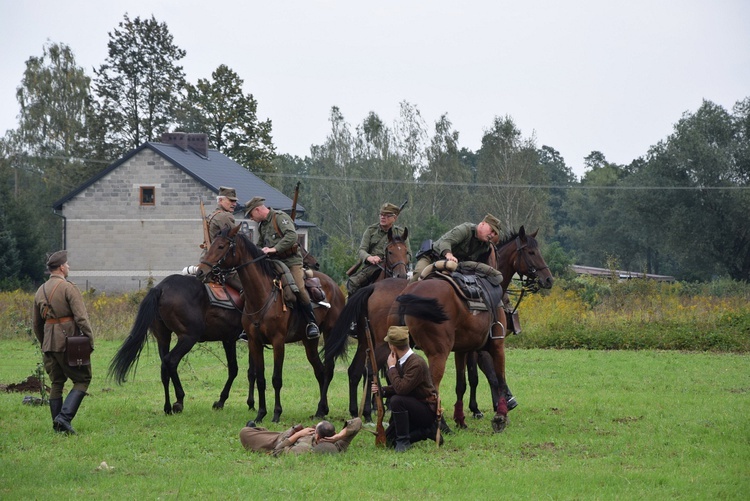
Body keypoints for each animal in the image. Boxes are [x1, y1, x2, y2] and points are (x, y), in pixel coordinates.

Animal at [108, 274, 242, 414]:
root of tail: (161, 288)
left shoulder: (229, 339)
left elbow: (233, 369)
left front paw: (221, 402)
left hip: (163, 338)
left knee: (164, 366)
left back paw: (167, 407)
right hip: (188, 338)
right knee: (171, 361)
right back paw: (179, 400)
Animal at [194, 225, 346, 424]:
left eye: (221, 246)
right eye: (212, 245)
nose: (200, 272)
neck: (262, 295)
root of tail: (336, 287)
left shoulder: (278, 342)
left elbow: (276, 379)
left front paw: (276, 413)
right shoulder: (254, 342)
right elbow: (260, 378)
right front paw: (260, 413)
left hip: (330, 334)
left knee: (328, 369)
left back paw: (321, 408)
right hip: (309, 341)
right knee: (319, 370)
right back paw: (321, 410)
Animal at [394, 226, 552, 430]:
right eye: (531, 252)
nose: (548, 279)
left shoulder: (464, 349)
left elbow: (463, 383)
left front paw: (462, 418)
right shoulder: (496, 345)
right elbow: (498, 378)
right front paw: (501, 414)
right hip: (438, 353)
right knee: (432, 387)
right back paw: (441, 425)